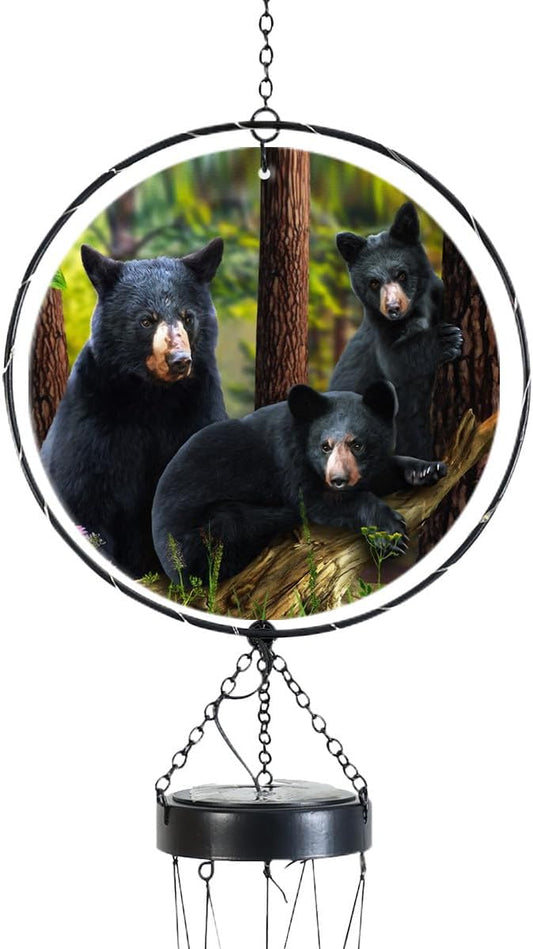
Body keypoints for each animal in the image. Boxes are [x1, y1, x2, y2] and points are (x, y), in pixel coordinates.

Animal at [41, 238, 227, 579]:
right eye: (146, 320)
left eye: (187, 316)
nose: (179, 360)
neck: (152, 397)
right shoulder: (93, 416)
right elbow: (84, 495)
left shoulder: (198, 407)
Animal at [151, 380, 446, 588]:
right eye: (325, 446)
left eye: (357, 444)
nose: (338, 480)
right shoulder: (287, 457)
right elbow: (313, 500)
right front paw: (390, 533)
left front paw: (427, 469)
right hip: (197, 537)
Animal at [329, 201, 463, 458]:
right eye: (373, 282)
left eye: (401, 274)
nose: (393, 308)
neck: (416, 311)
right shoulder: (380, 329)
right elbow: (396, 360)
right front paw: (448, 339)